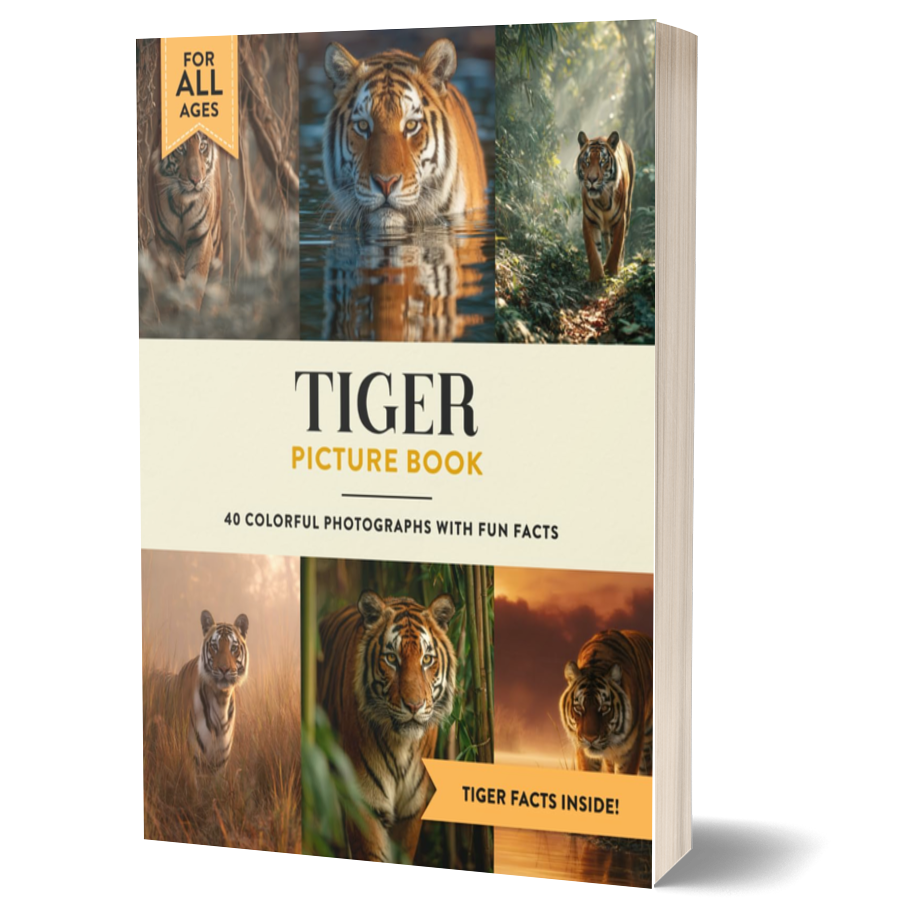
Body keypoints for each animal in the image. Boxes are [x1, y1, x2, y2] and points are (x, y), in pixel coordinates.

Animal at [146, 610, 249, 776]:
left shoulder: (220, 763)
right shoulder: (192, 760)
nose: (224, 669)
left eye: (233, 648)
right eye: (214, 646)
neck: (220, 701)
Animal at [148, 131, 223, 309]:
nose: (196, 180)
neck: (182, 202)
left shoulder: (201, 239)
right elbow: (176, 281)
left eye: (202, 146)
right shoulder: (165, 241)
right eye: (180, 149)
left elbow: (195, 286)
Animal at [317, 590, 457, 863]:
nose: (414, 705)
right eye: (392, 658)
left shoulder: (412, 810)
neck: (402, 745)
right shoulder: (364, 804)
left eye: (427, 659)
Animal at [575, 130, 635, 280]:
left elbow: (616, 249)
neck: (602, 200)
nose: (591, 179)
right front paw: (596, 277)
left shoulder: (620, 220)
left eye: (602, 162)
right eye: (587, 162)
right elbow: (593, 251)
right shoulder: (589, 220)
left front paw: (612, 272)